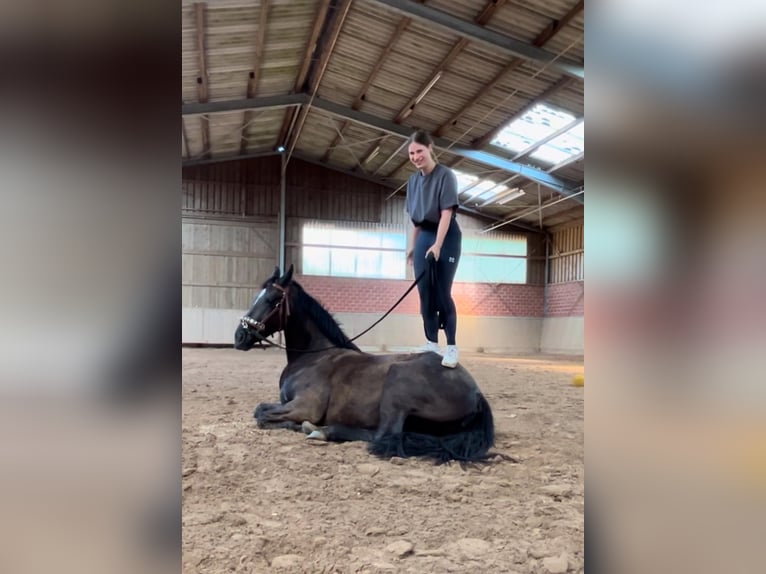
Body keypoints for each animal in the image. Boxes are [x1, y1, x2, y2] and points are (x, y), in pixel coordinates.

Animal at [234, 268, 498, 466]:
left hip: (397, 385)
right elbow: (260, 409)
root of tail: (476, 393)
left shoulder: (305, 406)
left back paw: (322, 431)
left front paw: (299, 425)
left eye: (273, 300)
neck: (313, 357)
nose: (239, 337)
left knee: (383, 434)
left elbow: (262, 416)